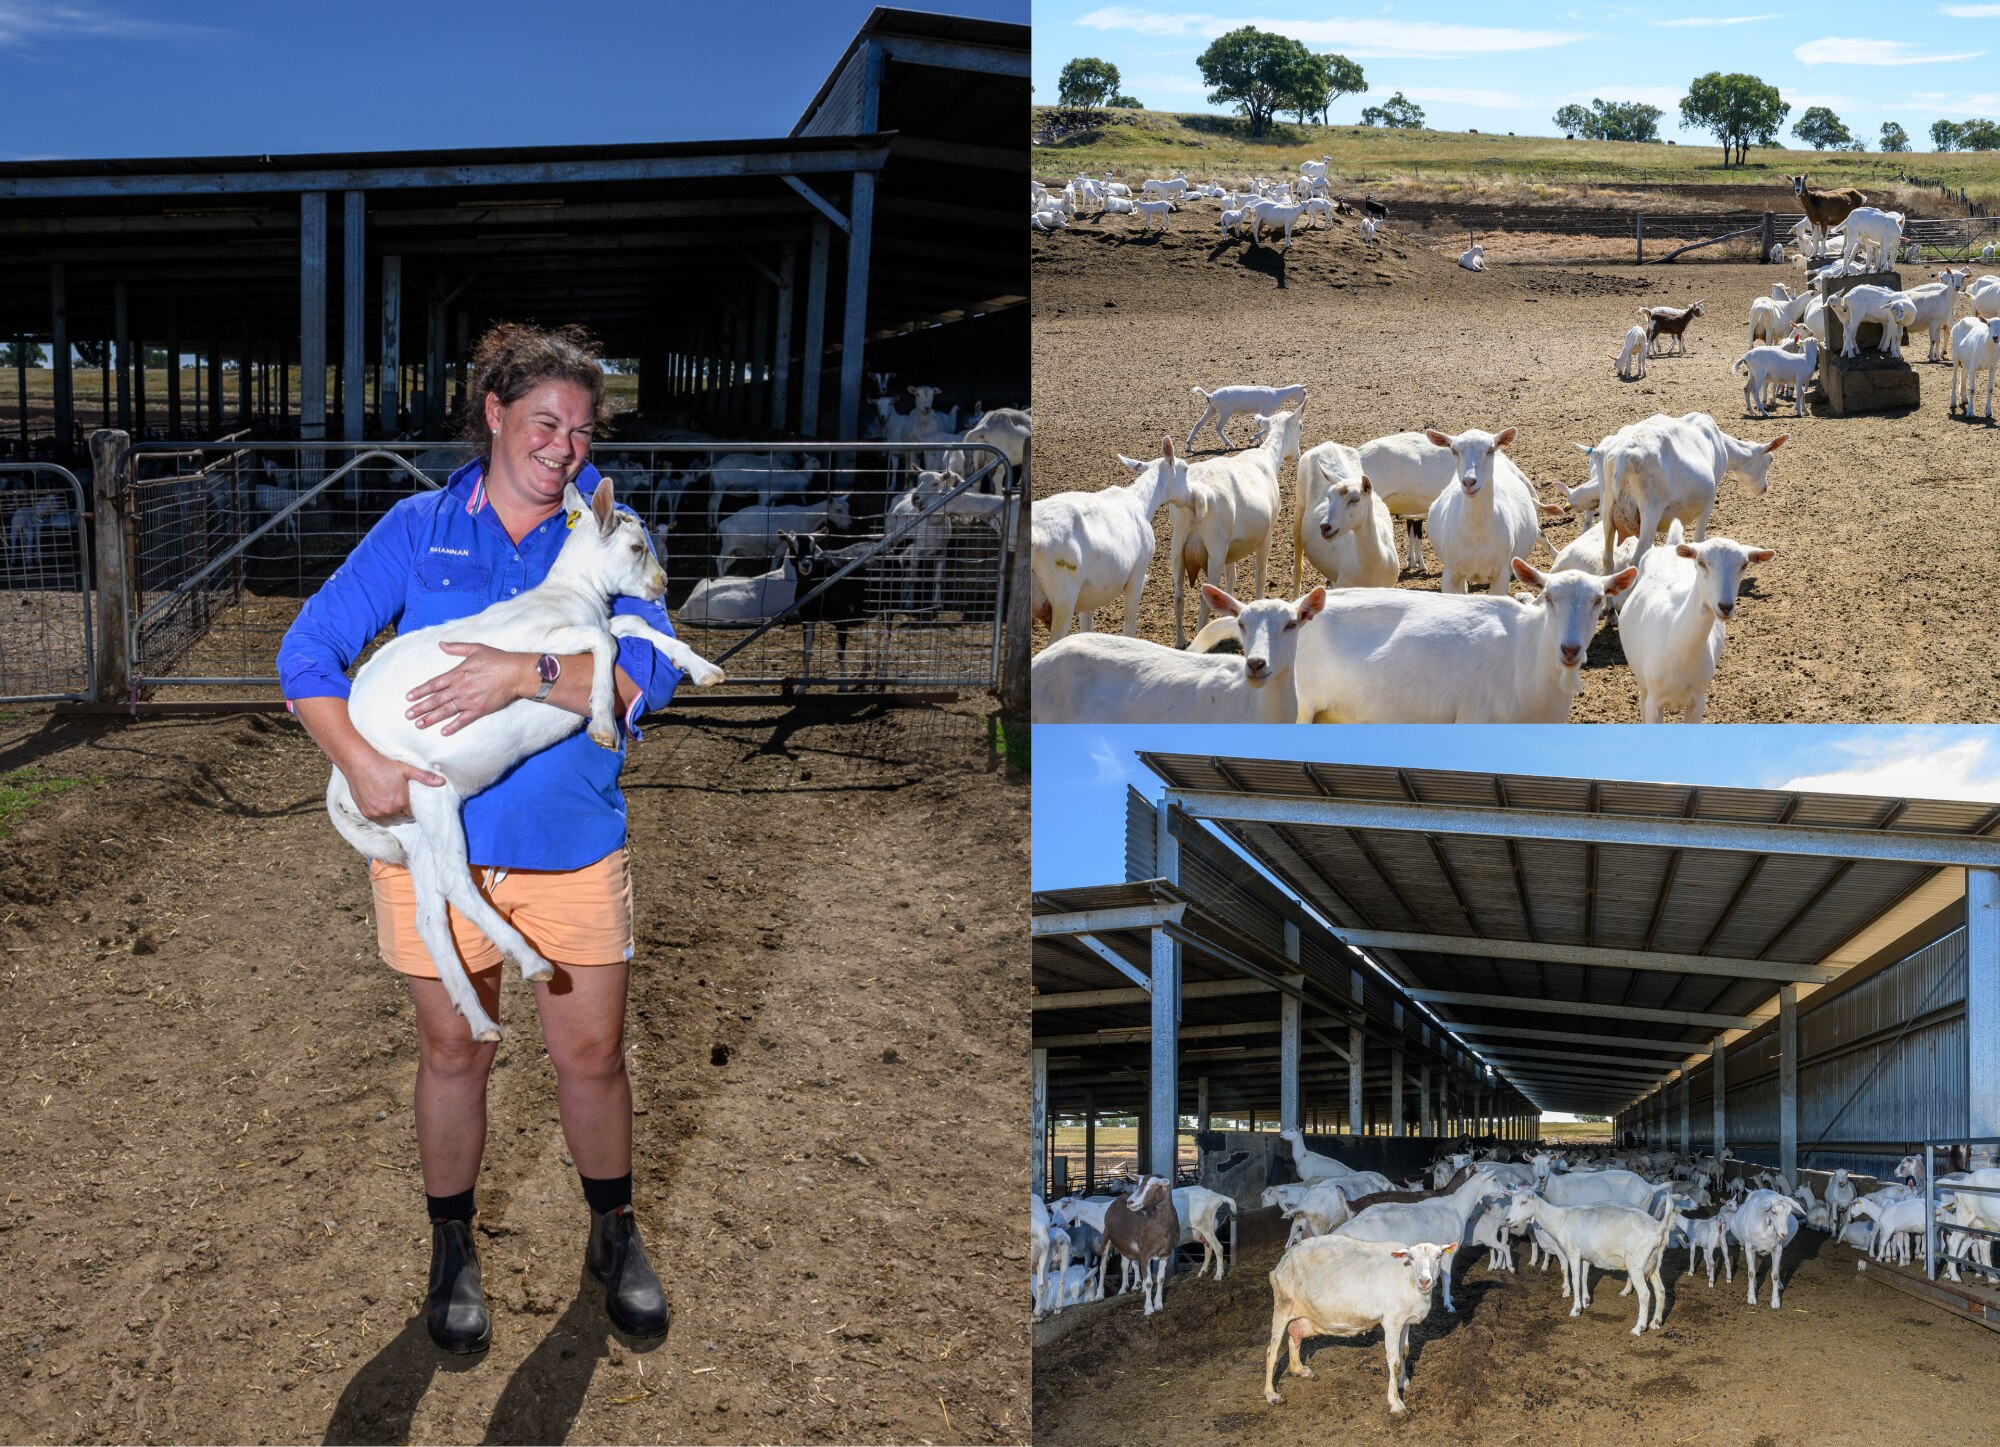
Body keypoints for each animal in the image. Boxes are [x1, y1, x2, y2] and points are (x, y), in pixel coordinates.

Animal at [324, 479, 732, 1047]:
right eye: (635, 547)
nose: (662, 584)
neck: (571, 593)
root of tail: (340, 779)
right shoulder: (545, 639)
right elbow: (605, 640)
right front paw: (603, 723)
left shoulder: (600, 619)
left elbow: (628, 625)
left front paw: (703, 668)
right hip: (427, 791)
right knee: (456, 880)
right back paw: (531, 961)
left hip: (409, 823)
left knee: (431, 915)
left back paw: (479, 1020)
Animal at [1104, 1167, 1176, 1319]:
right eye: (1139, 1183)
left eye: (1155, 1184)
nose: (1130, 1202)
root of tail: (1121, 1196)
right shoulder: (1145, 1253)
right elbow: (1149, 1282)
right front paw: (1148, 1309)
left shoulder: (1166, 1253)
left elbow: (1160, 1279)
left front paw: (1159, 1305)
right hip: (1106, 1236)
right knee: (1103, 1266)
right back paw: (1103, 1294)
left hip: (1125, 1246)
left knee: (1126, 1265)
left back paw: (1129, 1287)